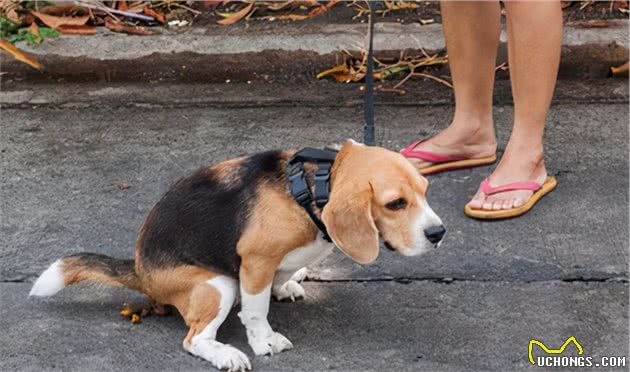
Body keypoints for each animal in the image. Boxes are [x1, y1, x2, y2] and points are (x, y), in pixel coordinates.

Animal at [28, 140, 444, 372]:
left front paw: (286, 285)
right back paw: (227, 355)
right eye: (395, 204)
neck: (310, 189)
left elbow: (279, 278)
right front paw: (264, 342)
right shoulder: (255, 260)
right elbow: (257, 311)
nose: (438, 234)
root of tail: (140, 270)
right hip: (217, 285)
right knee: (194, 339)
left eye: (426, 191)